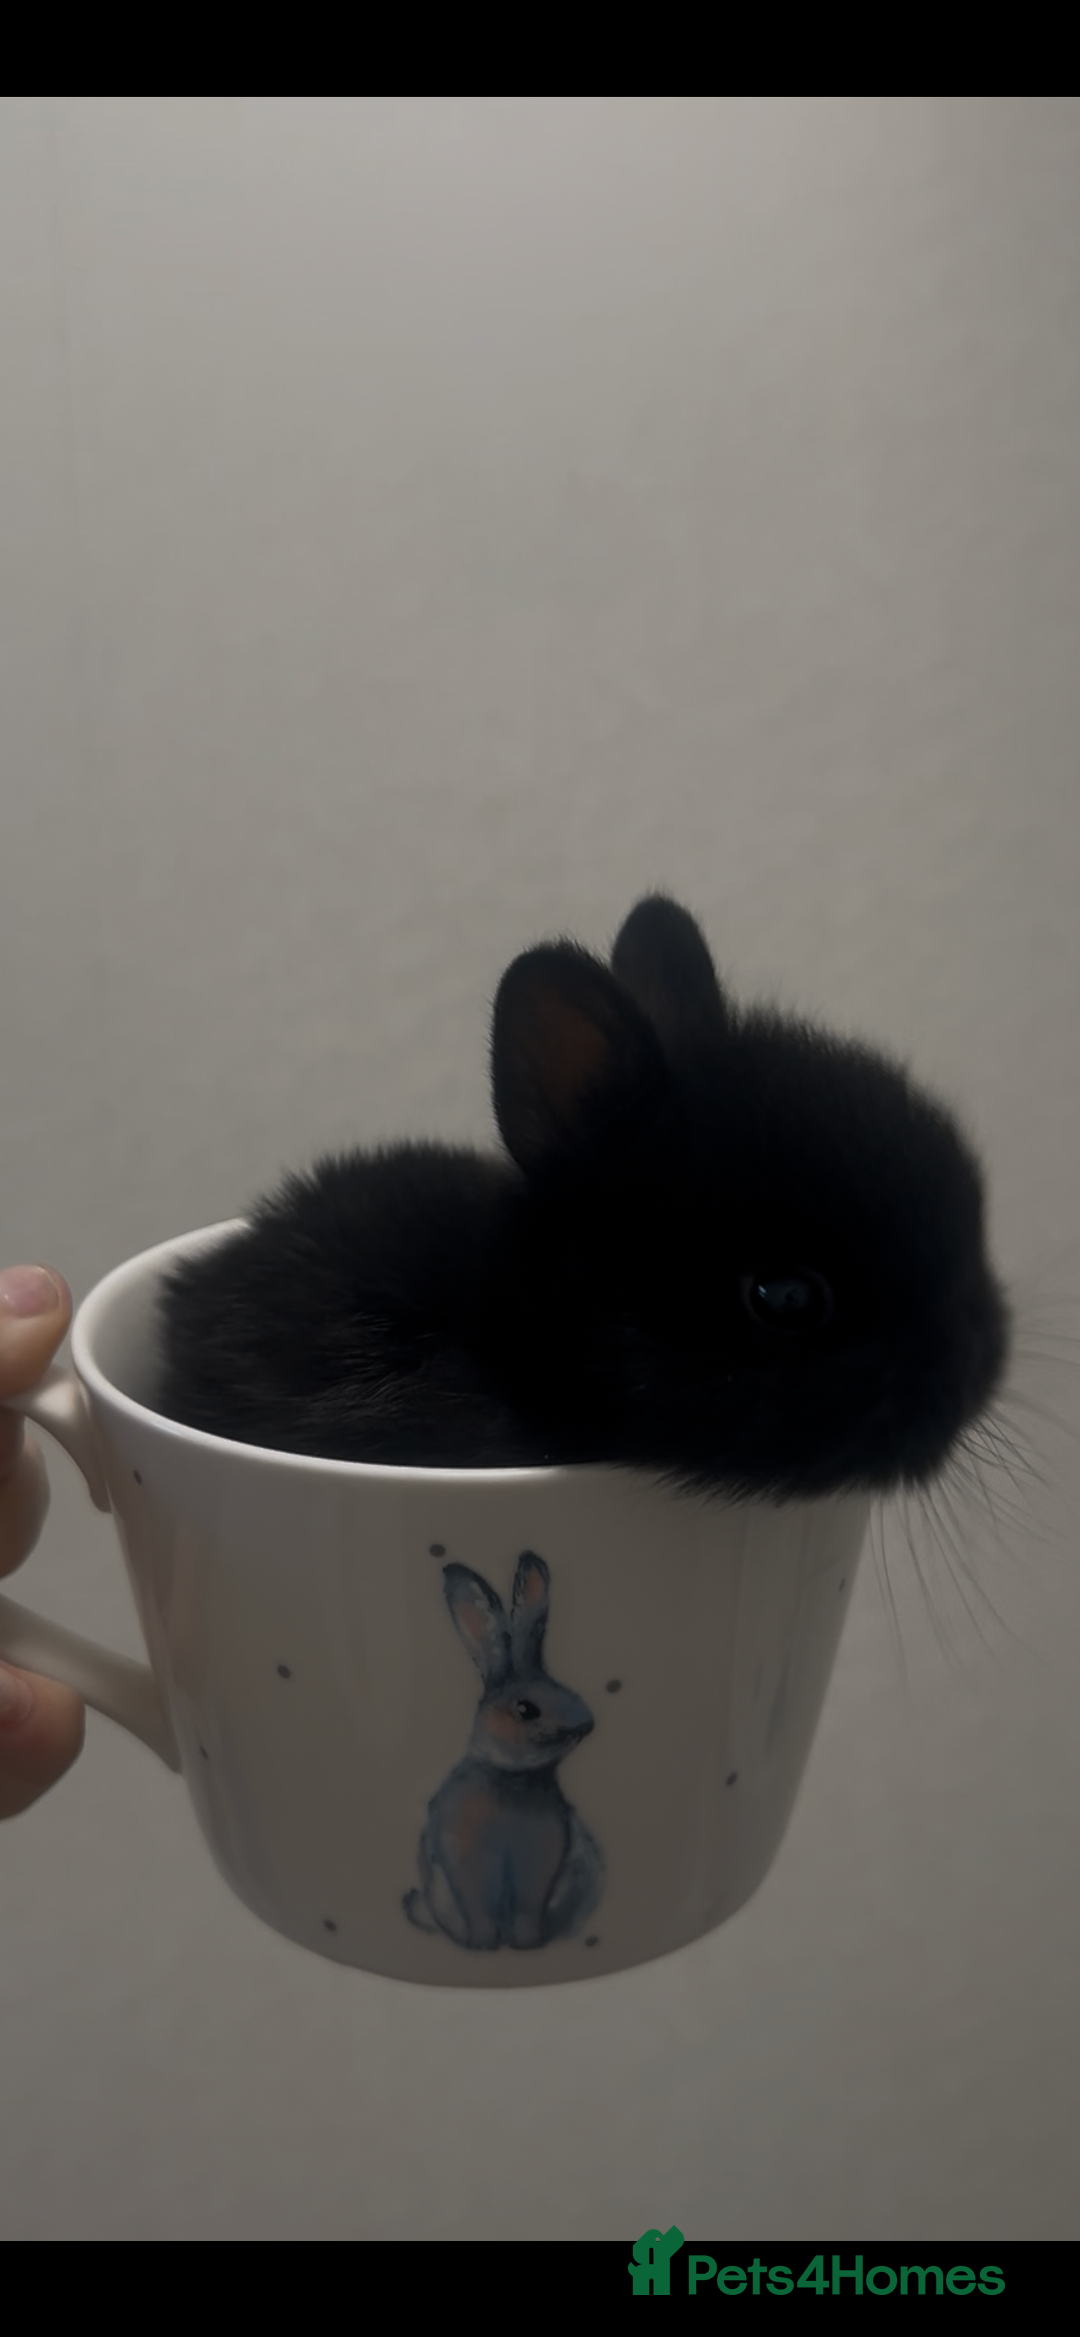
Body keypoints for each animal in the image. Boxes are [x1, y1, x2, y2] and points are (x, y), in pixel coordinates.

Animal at [403, 1550, 602, 1949]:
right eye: (526, 1709)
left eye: (563, 1687)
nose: (586, 1724)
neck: (511, 1777)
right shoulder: (469, 1867)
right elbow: (479, 1910)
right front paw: (483, 1945)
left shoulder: (537, 1871)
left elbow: (527, 1911)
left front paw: (524, 1944)